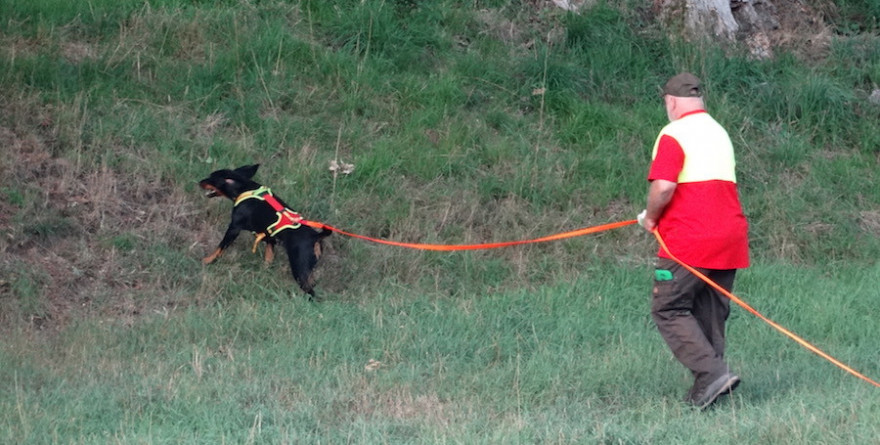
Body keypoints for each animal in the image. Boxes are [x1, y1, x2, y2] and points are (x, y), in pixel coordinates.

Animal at [198, 165, 332, 300]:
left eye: (211, 178)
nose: (199, 182)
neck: (244, 188)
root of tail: (316, 236)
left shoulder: (234, 228)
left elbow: (220, 248)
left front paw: (208, 260)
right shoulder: (268, 236)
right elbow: (269, 256)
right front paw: (264, 270)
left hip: (299, 268)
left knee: (310, 291)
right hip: (308, 268)